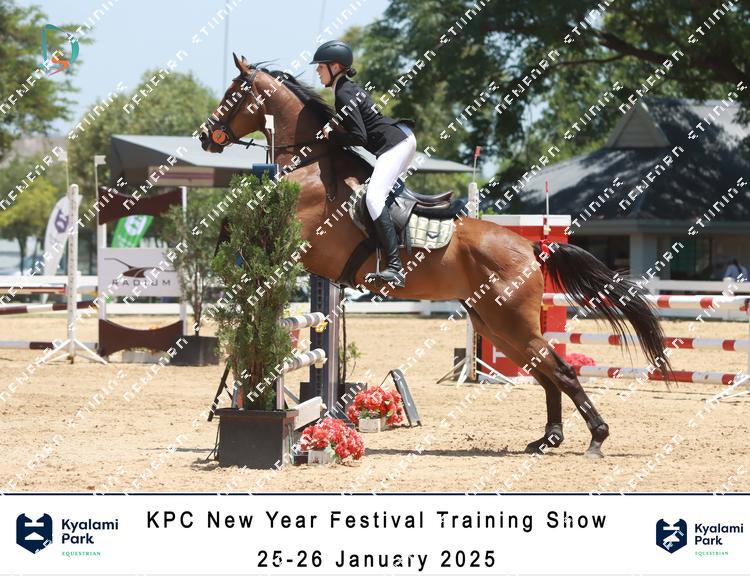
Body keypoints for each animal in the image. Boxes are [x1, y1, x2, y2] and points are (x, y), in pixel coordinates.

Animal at [198, 54, 672, 458]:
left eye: (233, 95)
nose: (205, 137)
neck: (312, 162)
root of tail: (530, 247)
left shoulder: (302, 230)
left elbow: (239, 220)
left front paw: (224, 259)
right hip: (497, 326)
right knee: (546, 372)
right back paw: (547, 439)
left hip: (510, 322)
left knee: (562, 371)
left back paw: (596, 437)